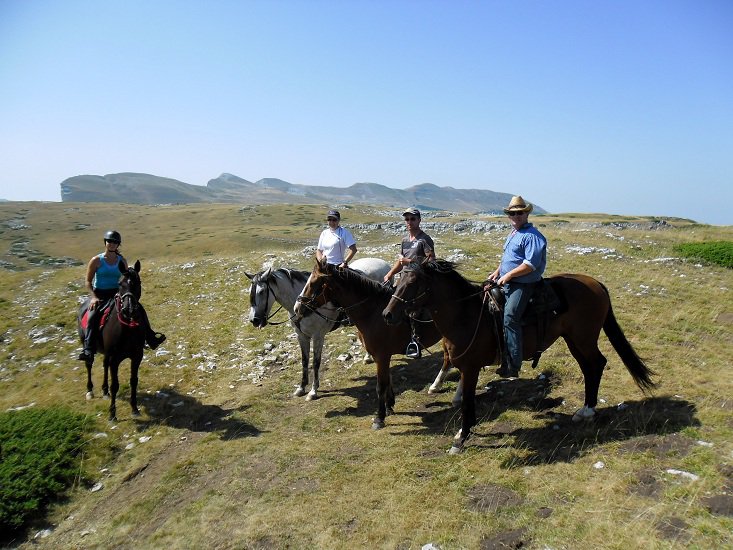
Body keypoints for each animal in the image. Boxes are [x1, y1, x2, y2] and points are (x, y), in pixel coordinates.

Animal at [76, 260, 147, 420]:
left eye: (138, 282)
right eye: (120, 283)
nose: (129, 309)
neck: (127, 328)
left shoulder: (136, 356)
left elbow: (134, 381)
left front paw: (134, 409)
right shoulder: (115, 359)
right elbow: (115, 385)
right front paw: (112, 414)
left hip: (106, 352)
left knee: (104, 365)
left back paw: (105, 390)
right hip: (87, 344)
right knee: (89, 364)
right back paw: (90, 391)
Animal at [294, 258, 452, 432]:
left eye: (314, 283)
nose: (298, 308)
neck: (373, 313)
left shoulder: (382, 356)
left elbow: (380, 386)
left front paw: (379, 417)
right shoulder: (381, 356)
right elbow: (388, 381)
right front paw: (389, 406)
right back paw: (436, 386)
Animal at [380, 260, 656, 454]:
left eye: (413, 282)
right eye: (399, 278)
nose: (387, 315)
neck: (465, 315)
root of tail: (596, 284)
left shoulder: (471, 367)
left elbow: (468, 403)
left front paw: (461, 438)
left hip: (583, 339)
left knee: (597, 364)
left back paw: (588, 409)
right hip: (573, 340)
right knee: (590, 367)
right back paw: (585, 410)